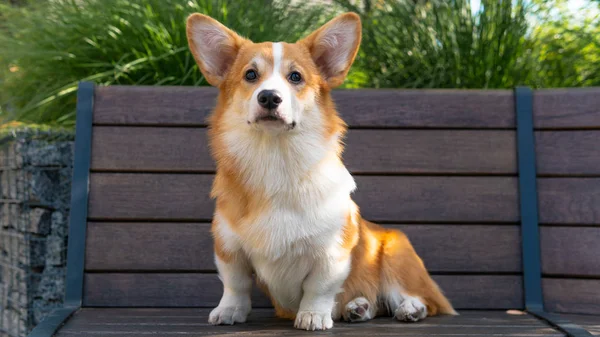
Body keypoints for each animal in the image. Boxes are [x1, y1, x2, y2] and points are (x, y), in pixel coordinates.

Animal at [185, 11, 458, 330]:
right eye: (250, 75)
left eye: (296, 77)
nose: (269, 97)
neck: (276, 158)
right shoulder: (229, 247)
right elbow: (235, 284)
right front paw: (229, 311)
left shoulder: (332, 252)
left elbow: (319, 287)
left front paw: (313, 315)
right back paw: (359, 307)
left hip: (396, 255)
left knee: (421, 299)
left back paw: (410, 308)